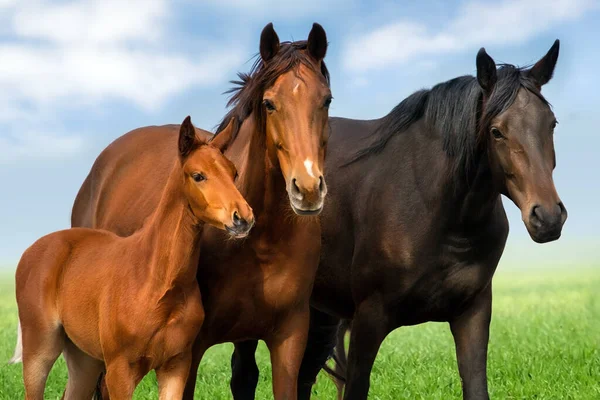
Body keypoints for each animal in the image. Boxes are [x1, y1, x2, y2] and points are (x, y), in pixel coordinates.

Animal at [13, 116, 253, 400]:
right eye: (198, 176)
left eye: (234, 173)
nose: (243, 218)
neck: (156, 282)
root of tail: (32, 249)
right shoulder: (120, 370)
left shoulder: (176, 366)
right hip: (40, 350)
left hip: (84, 359)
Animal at [71, 22, 332, 400]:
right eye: (269, 104)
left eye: (326, 100)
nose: (308, 188)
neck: (263, 242)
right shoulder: (189, 350)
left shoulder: (290, 338)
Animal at [231, 39, 568, 400]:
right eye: (496, 132)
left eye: (551, 123)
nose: (548, 216)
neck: (441, 214)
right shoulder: (368, 319)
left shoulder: (473, 313)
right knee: (245, 376)